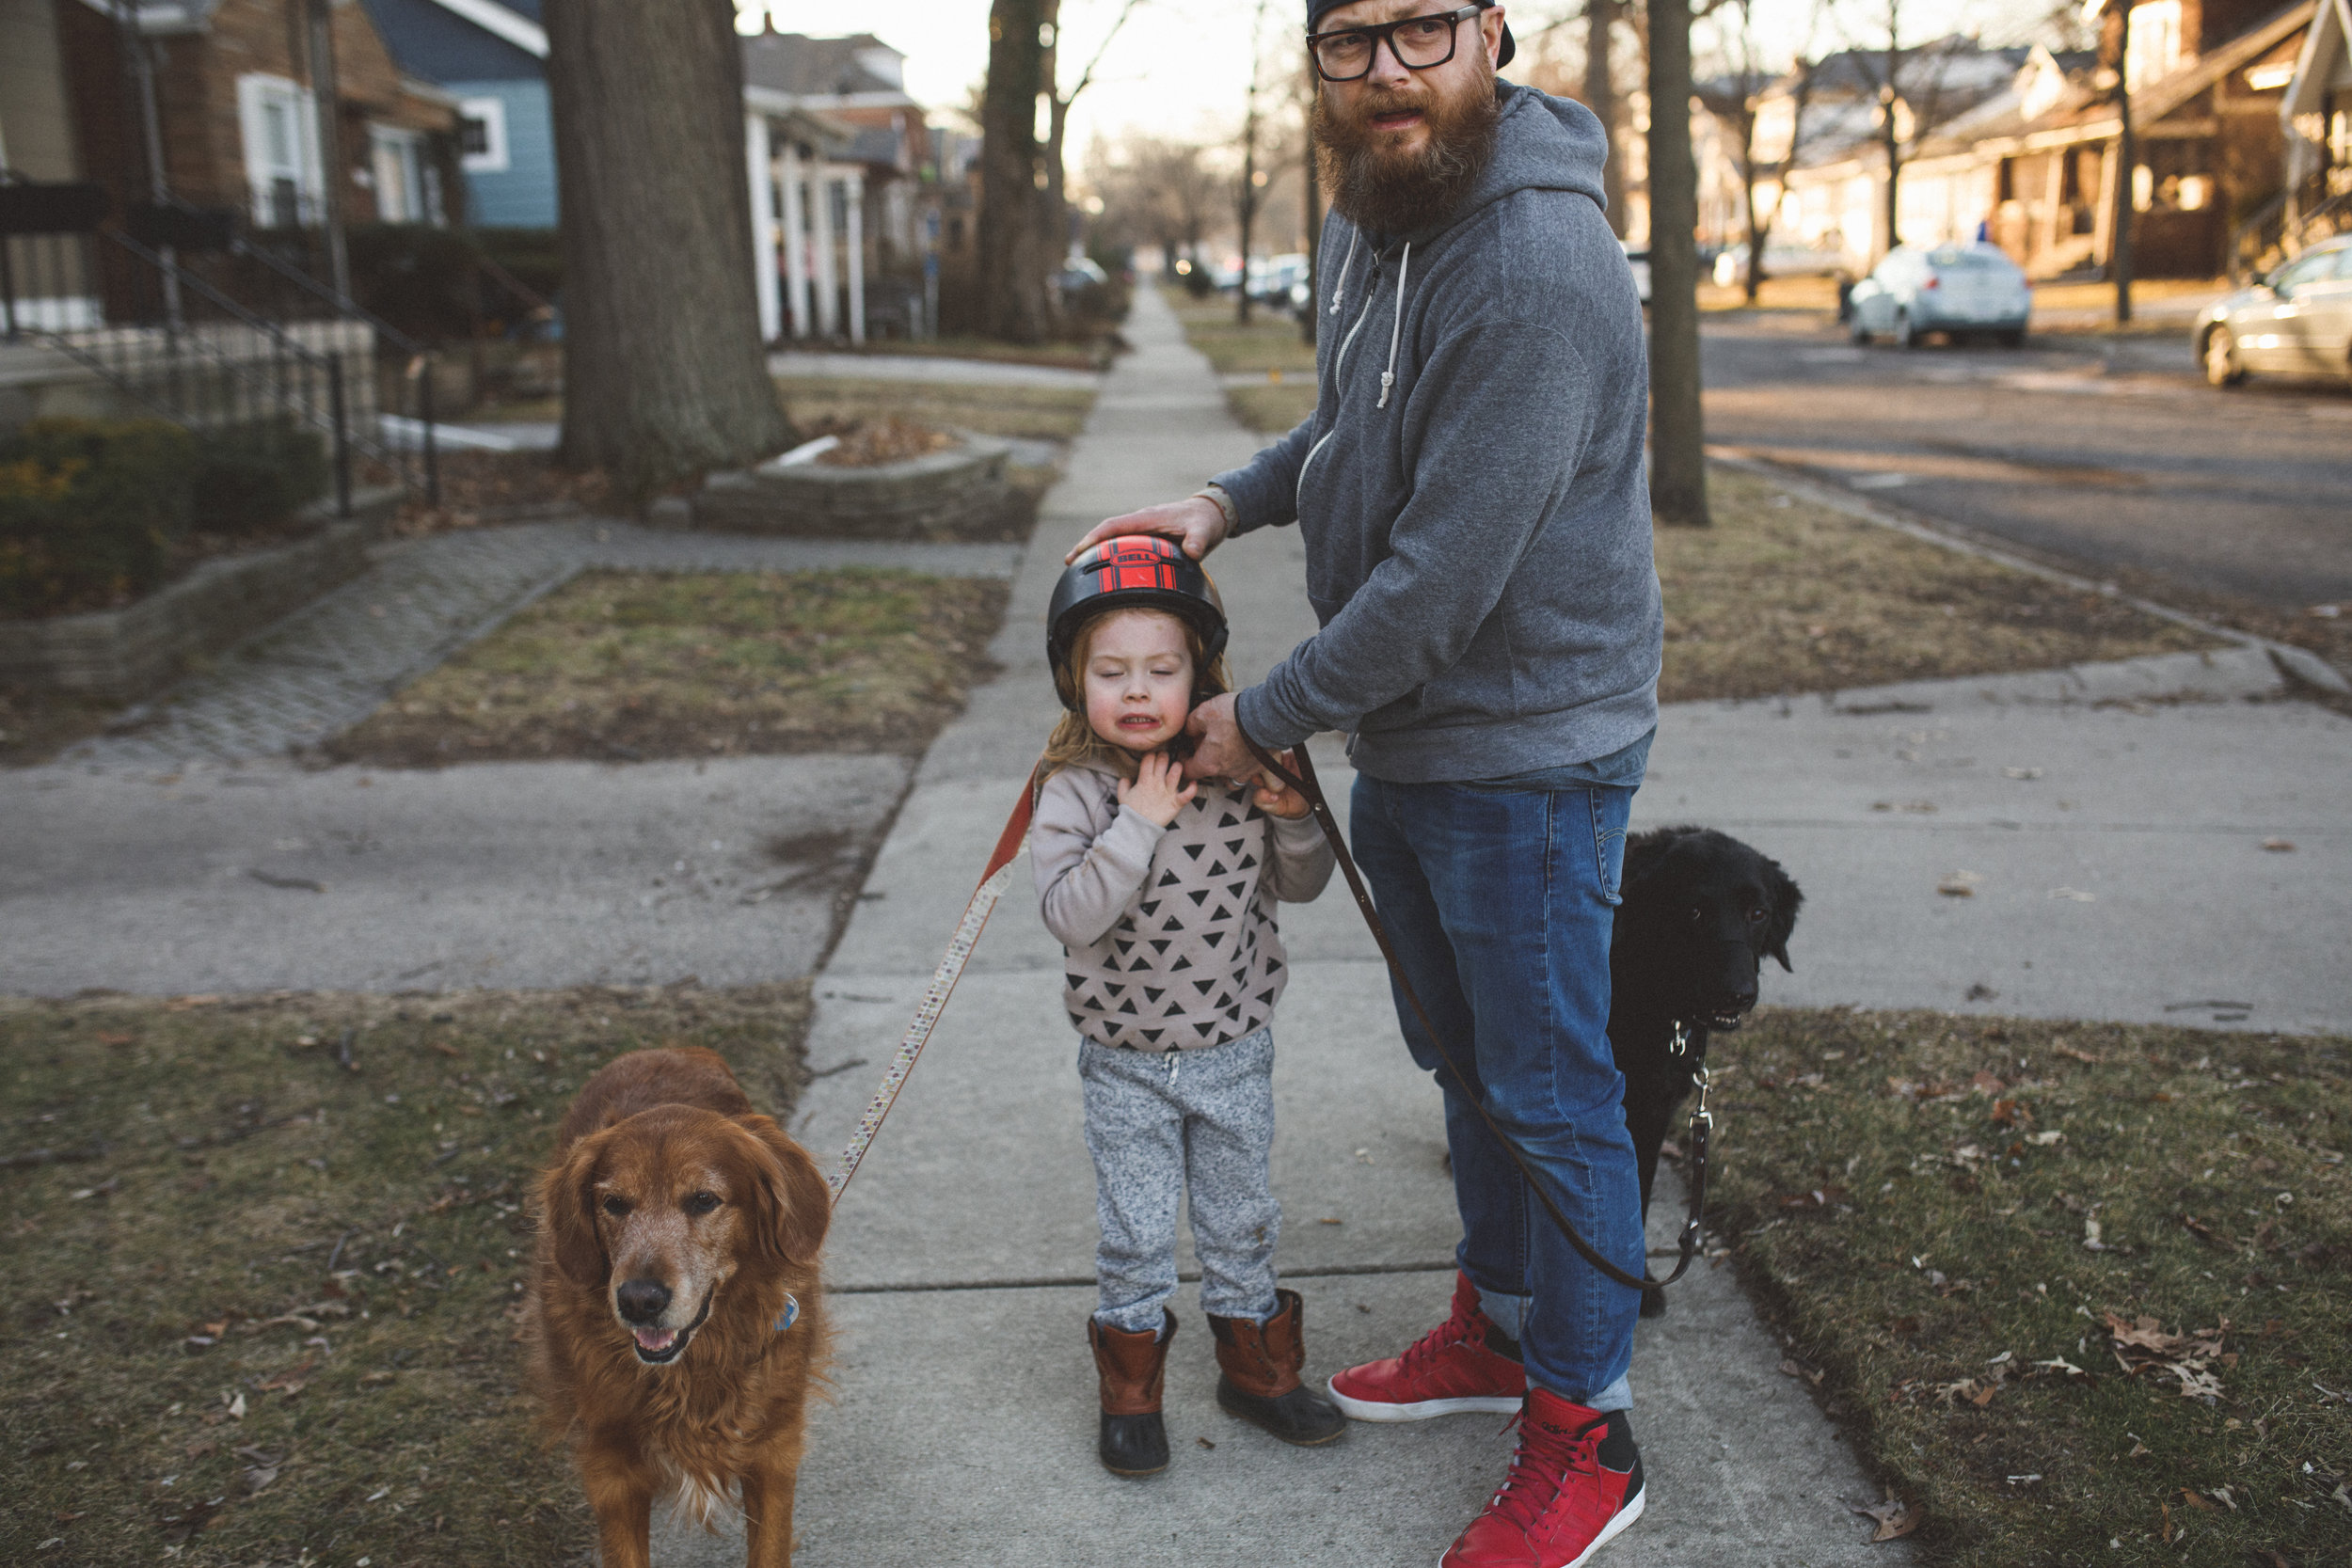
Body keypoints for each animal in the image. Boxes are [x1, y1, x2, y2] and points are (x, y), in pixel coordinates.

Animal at [1618, 827, 1797, 1316]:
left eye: (1758, 913)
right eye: (1694, 912)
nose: (1737, 994)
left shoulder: (1652, 1107)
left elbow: (1635, 1194)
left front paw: (1637, 1283)